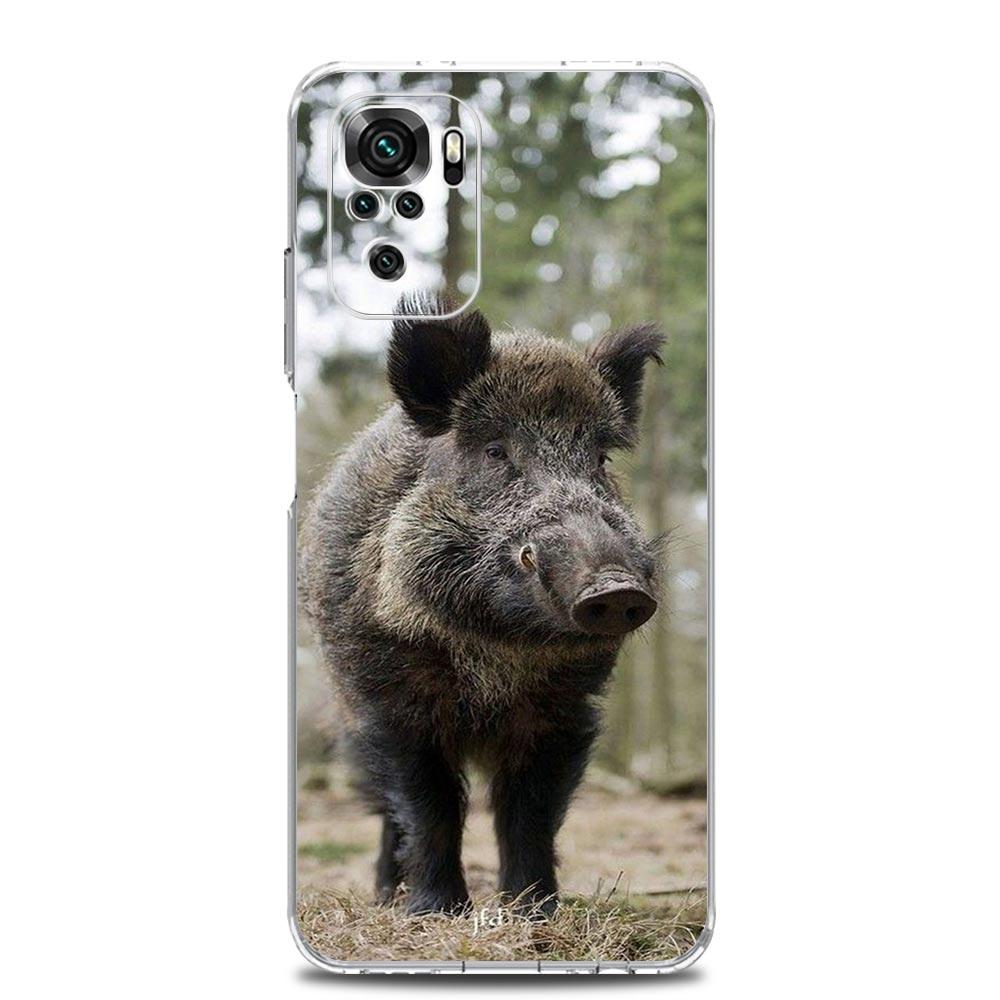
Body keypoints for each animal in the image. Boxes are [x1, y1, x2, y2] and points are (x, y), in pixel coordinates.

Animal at [300, 294, 664, 916]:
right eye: (495, 450)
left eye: (599, 458)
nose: (615, 588)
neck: (494, 652)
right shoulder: (391, 700)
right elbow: (430, 806)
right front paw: (437, 912)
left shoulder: (564, 709)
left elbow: (530, 811)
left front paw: (533, 910)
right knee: (386, 811)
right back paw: (384, 898)